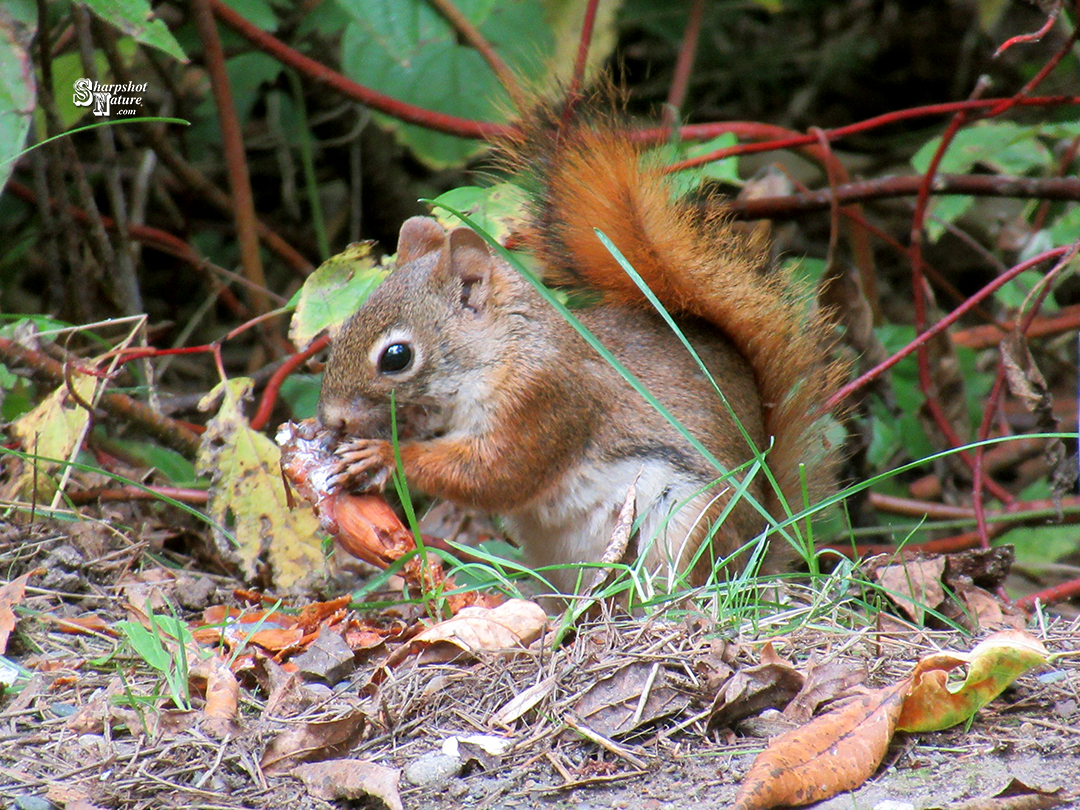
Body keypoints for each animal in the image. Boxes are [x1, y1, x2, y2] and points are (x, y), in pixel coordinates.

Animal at [313, 95, 842, 591]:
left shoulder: (548, 398)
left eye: (396, 357)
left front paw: (382, 455)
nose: (331, 419)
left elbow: (496, 474)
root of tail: (759, 550)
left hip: (684, 529)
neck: (504, 352)